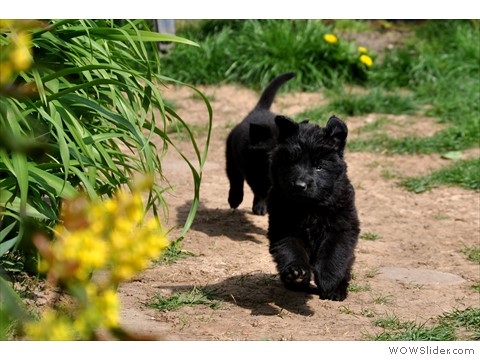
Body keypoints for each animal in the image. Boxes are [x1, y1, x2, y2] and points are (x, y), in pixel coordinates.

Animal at [226, 71, 296, 215]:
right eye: (270, 155)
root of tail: (260, 109)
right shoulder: (252, 170)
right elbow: (259, 187)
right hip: (231, 155)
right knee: (235, 178)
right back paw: (235, 199)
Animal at [268, 115, 358, 300]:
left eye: (319, 166)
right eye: (291, 163)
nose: (299, 185)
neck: (309, 207)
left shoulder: (342, 226)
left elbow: (334, 252)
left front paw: (328, 280)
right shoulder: (283, 227)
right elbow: (291, 249)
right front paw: (296, 272)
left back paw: (338, 290)